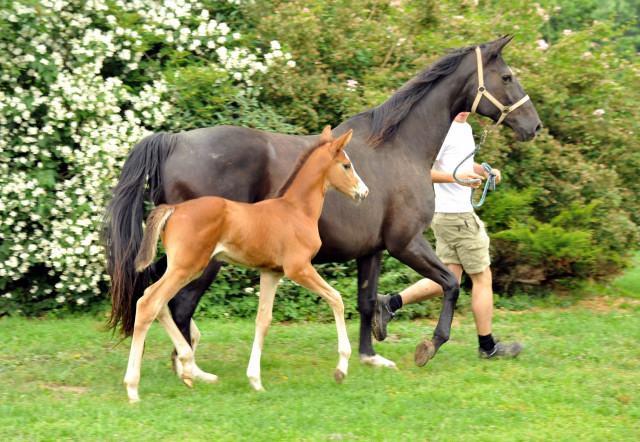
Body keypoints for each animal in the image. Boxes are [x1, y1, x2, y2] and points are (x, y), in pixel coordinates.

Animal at [124, 126, 364, 402]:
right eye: (346, 165)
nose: (363, 192)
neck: (296, 210)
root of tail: (174, 208)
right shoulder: (299, 268)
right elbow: (336, 298)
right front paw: (341, 369)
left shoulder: (271, 273)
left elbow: (263, 320)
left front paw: (255, 381)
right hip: (187, 267)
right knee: (149, 302)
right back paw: (134, 387)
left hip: (184, 268)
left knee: (157, 301)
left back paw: (187, 366)